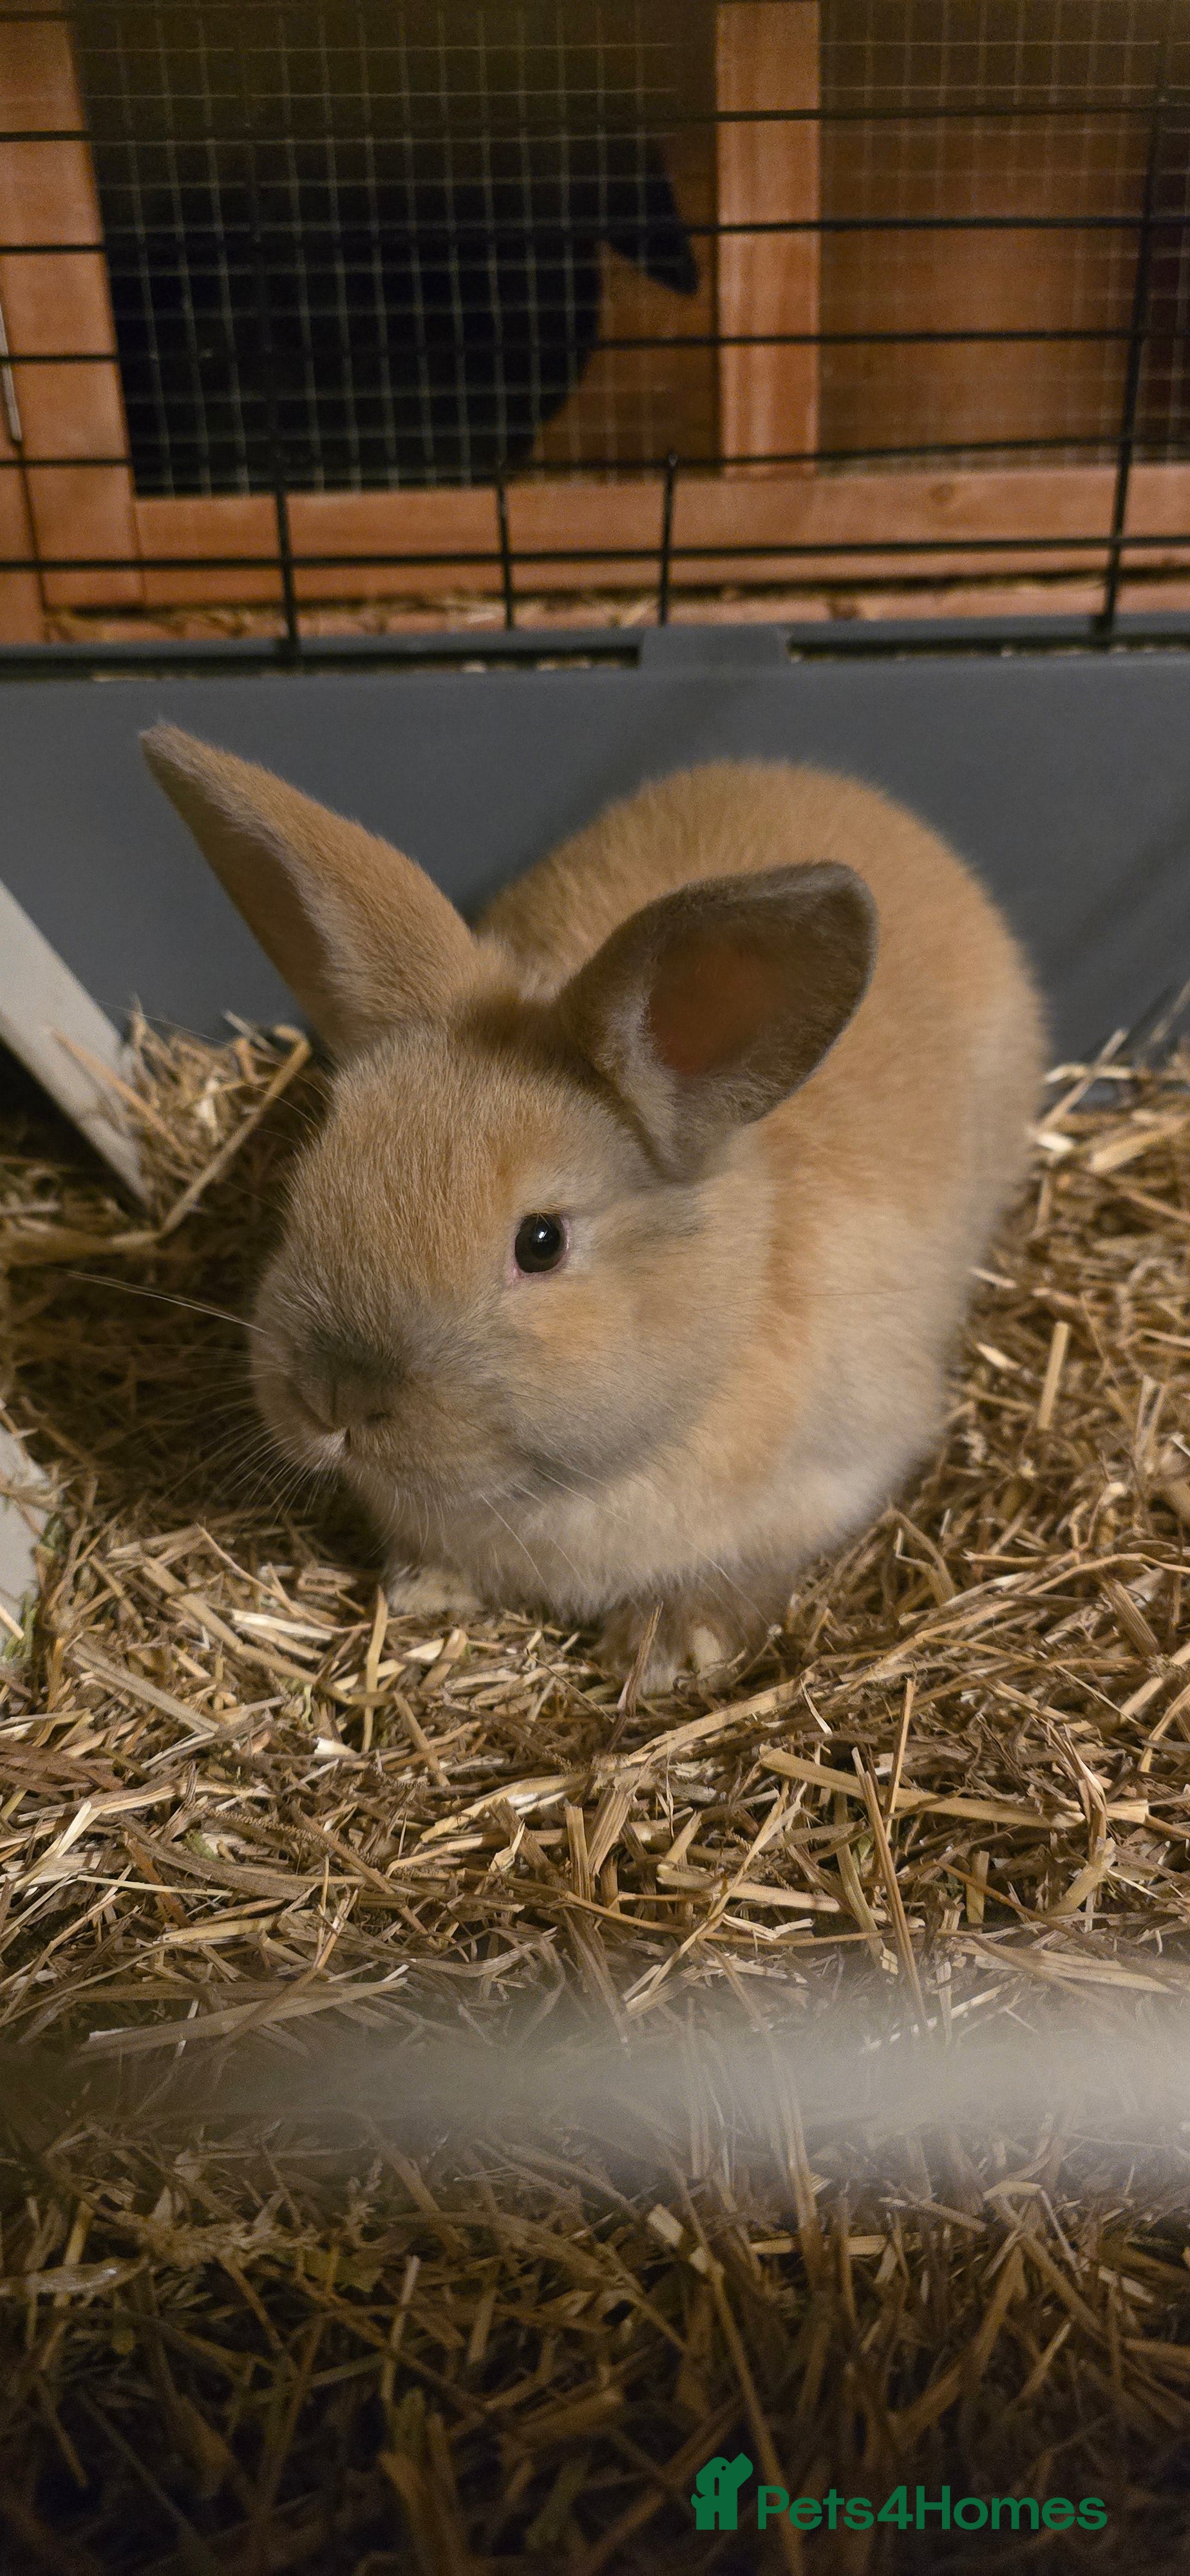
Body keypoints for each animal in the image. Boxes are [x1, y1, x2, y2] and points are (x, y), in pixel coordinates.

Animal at [142, 729, 1045, 1690]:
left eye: (541, 1243)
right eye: (308, 1184)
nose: (335, 1400)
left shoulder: (843, 1469)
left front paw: (672, 1646)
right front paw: (429, 1586)